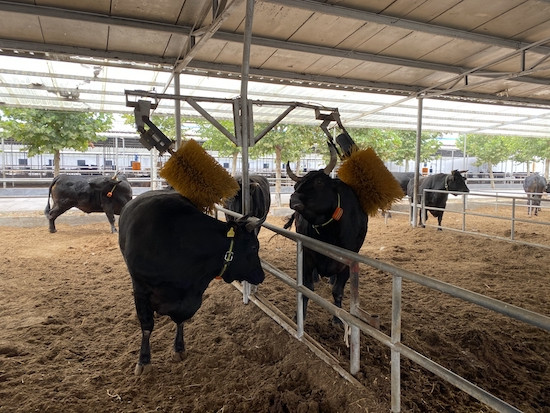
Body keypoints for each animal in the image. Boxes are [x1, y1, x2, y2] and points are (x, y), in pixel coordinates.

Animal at [118, 189, 265, 375]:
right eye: (254, 247)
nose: (261, 275)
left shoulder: (192, 294)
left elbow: (181, 319)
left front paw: (179, 348)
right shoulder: (140, 289)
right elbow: (146, 325)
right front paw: (143, 361)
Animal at [285, 147, 368, 324]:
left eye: (319, 182)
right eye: (296, 185)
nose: (293, 198)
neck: (328, 233)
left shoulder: (348, 261)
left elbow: (338, 290)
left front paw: (337, 319)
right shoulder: (307, 256)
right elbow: (306, 288)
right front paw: (299, 316)